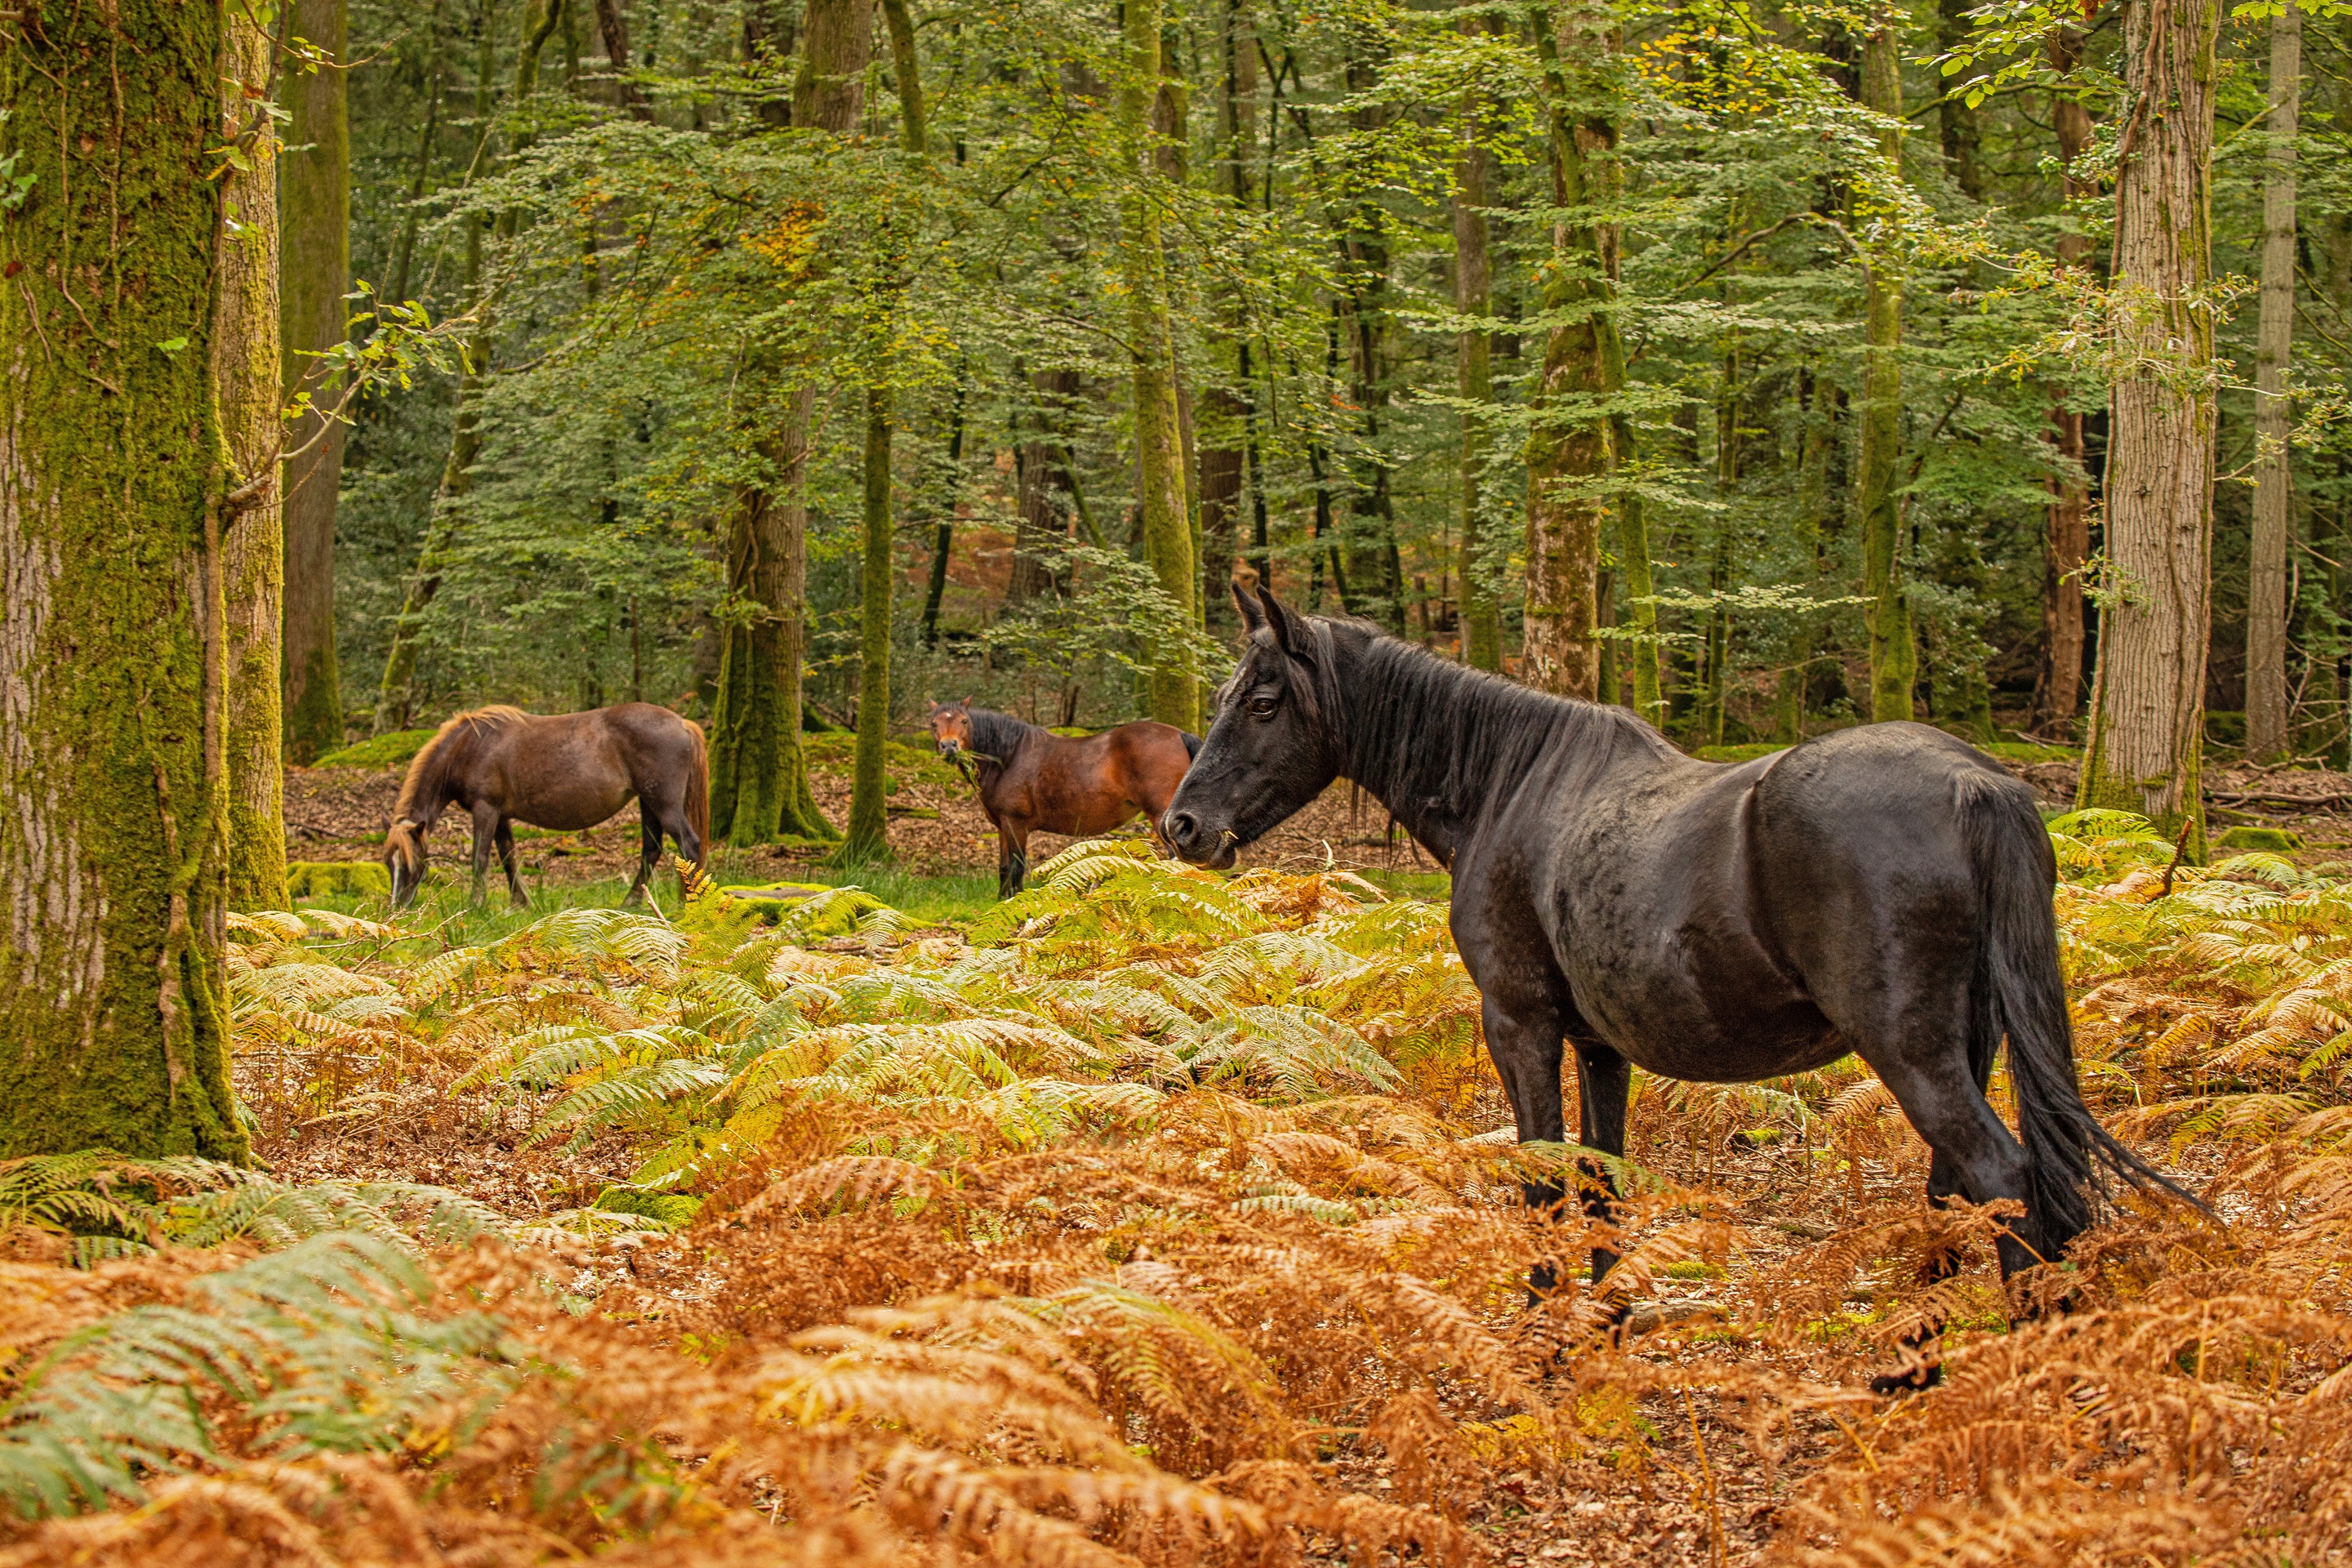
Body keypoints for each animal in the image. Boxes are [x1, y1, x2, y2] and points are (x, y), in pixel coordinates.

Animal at [376, 700, 701, 907]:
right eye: (388, 863)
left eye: (411, 863)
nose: (396, 910)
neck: (469, 748)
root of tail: (681, 723)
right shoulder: (500, 815)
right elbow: (508, 857)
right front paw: (519, 903)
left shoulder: (485, 810)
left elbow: (480, 860)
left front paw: (476, 906)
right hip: (648, 802)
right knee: (651, 850)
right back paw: (632, 902)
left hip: (664, 804)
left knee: (689, 845)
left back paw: (690, 902)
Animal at [926, 705, 1204, 902]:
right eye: (934, 723)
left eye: (964, 721)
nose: (949, 746)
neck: (1009, 757)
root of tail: (1179, 734)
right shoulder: (1002, 827)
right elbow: (1004, 867)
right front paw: (1001, 901)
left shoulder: (1015, 824)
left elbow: (1017, 867)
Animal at [1161, 585, 2182, 1335]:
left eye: (1262, 703)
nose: (1182, 826)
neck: (1510, 788)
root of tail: (1977, 782)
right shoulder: (1600, 1046)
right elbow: (1601, 1182)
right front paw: (1606, 1322)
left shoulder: (1519, 1024)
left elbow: (1543, 1180)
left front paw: (1542, 1333)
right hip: (1968, 1043)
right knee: (1955, 1187)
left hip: (1911, 1050)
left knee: (2001, 1179)